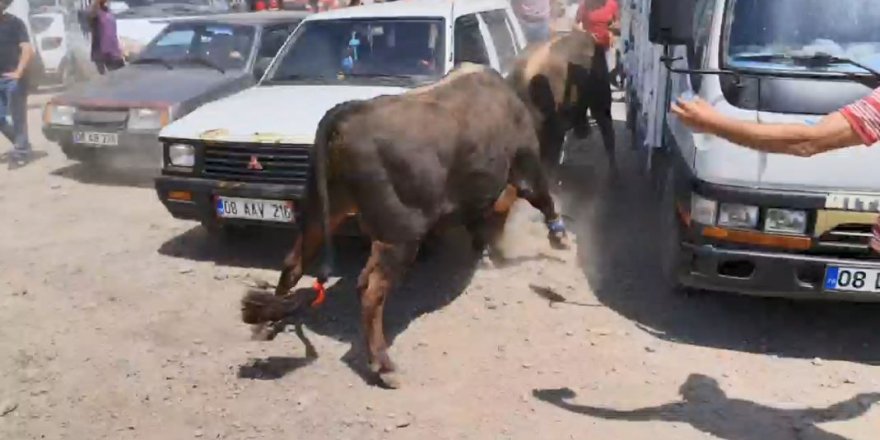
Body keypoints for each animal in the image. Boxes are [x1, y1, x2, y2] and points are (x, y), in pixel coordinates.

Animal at [241, 62, 568, 388]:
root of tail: (347, 113)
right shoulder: (526, 166)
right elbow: (542, 198)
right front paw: (558, 238)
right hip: (398, 237)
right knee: (370, 290)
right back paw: (384, 366)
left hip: (323, 211)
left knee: (293, 263)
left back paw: (266, 322)